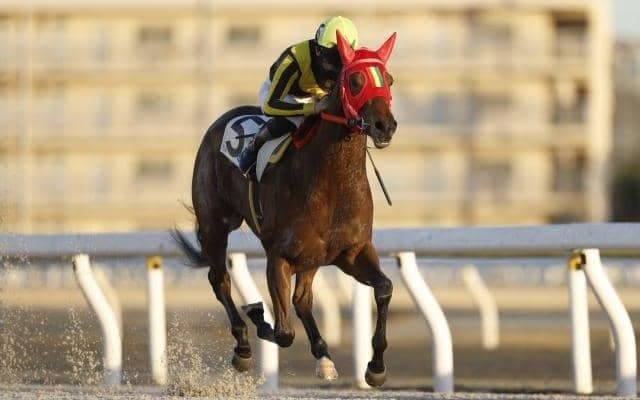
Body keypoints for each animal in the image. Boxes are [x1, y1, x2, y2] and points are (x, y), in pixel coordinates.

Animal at [172, 31, 398, 387]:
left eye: (388, 80)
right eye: (355, 80)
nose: (384, 126)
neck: (331, 183)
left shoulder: (352, 252)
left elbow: (385, 288)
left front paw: (375, 367)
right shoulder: (279, 257)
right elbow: (283, 332)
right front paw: (257, 314)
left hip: (312, 258)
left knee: (302, 300)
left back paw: (323, 356)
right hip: (214, 225)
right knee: (220, 279)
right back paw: (243, 345)